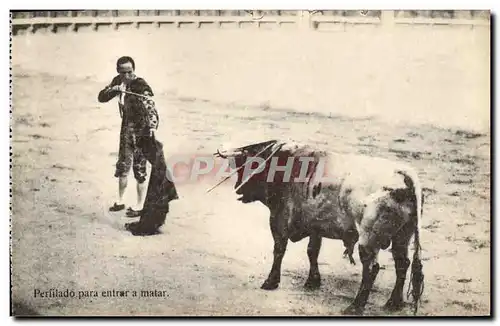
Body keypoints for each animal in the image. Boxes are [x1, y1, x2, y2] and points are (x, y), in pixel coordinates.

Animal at [213, 139, 424, 316]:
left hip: (369, 239)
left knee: (371, 268)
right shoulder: (316, 226)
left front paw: (271, 281)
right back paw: (393, 303)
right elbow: (312, 251)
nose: (239, 189)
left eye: (249, 164)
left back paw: (355, 307)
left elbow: (279, 250)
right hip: (402, 236)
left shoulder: (279, 220)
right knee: (402, 263)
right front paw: (313, 281)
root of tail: (404, 175)